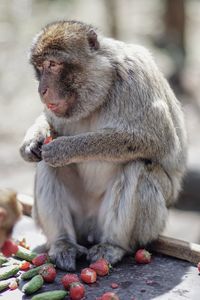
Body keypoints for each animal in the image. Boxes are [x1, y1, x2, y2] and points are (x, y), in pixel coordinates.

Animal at [19, 20, 187, 270]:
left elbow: (156, 139)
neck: (102, 87)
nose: (42, 90)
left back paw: (113, 245)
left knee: (137, 166)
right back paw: (63, 243)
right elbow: (48, 124)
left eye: (53, 64)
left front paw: (64, 149)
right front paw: (33, 141)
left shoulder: (135, 79)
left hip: (152, 223)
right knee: (45, 166)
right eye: (40, 67)